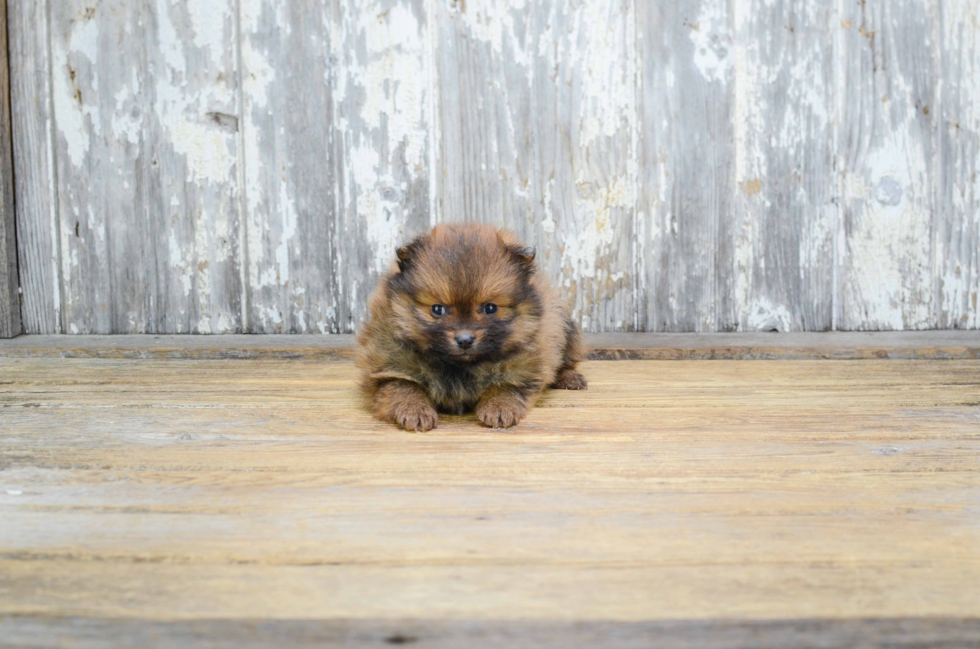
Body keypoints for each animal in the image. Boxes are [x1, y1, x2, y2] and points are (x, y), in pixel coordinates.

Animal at [356, 223, 584, 430]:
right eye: (437, 309)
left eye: (490, 308)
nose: (464, 340)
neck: (459, 367)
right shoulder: (386, 366)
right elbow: (403, 387)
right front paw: (415, 411)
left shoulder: (528, 365)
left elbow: (507, 385)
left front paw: (499, 407)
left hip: (565, 328)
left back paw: (570, 378)